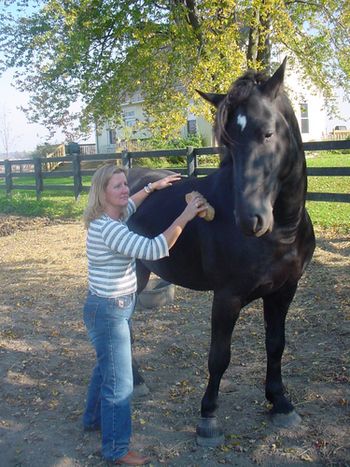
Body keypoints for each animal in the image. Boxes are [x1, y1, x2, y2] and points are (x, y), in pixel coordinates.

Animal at [127, 58, 316, 446]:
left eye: (268, 133)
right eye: (228, 142)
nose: (250, 219)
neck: (283, 232)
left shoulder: (284, 291)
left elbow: (276, 344)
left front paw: (281, 404)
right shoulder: (227, 297)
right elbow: (219, 357)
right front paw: (208, 418)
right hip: (132, 273)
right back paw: (134, 383)